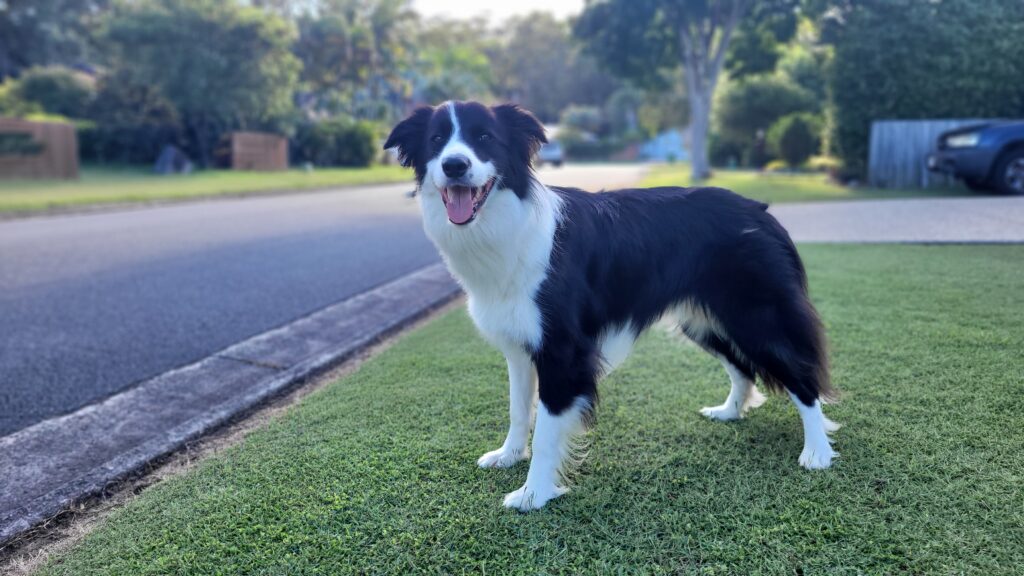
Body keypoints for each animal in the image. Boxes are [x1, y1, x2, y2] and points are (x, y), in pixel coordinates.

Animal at [385, 100, 839, 508]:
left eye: (484, 138)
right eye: (436, 141)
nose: (454, 166)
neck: (507, 222)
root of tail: (762, 212)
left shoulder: (563, 352)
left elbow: (547, 428)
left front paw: (533, 494)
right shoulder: (518, 345)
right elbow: (518, 410)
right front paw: (510, 455)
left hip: (757, 317)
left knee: (802, 376)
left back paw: (817, 451)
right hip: (705, 321)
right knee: (743, 367)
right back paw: (730, 412)